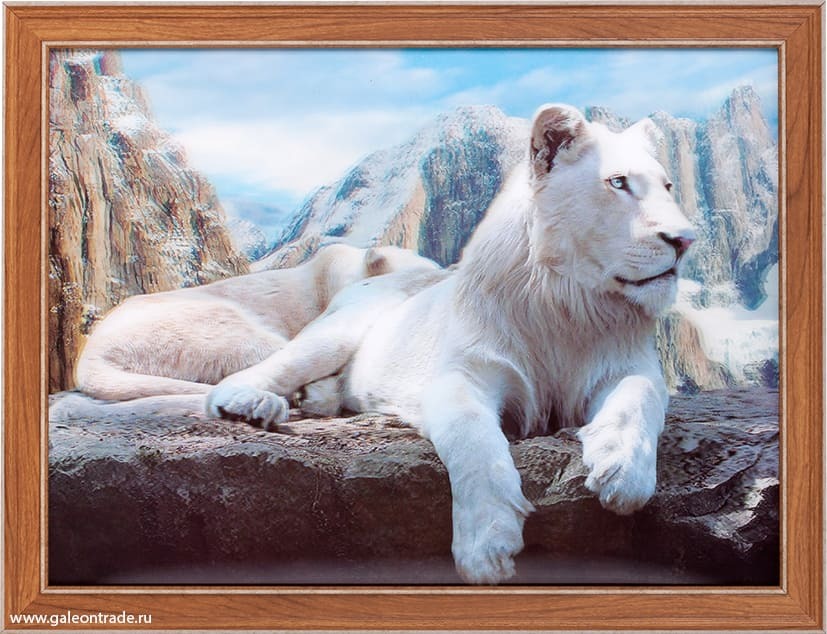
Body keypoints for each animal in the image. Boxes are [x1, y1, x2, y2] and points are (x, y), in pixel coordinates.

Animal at [206, 104, 697, 584]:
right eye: (618, 183)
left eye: (668, 186)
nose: (685, 240)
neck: (568, 302)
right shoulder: (464, 373)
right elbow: (473, 440)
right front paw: (487, 545)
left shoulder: (627, 366)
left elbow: (639, 397)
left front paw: (622, 472)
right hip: (336, 332)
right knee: (257, 373)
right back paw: (253, 404)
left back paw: (315, 399)